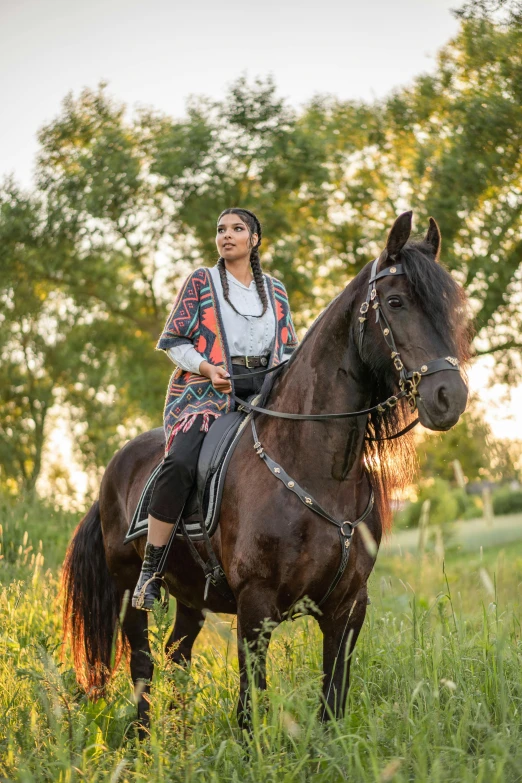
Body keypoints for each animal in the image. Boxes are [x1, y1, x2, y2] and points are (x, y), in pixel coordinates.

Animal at [63, 213, 470, 728]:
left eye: (449, 308)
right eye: (395, 302)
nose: (449, 397)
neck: (317, 472)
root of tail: (113, 471)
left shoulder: (348, 608)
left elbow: (331, 706)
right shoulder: (255, 608)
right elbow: (248, 708)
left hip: (191, 596)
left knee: (178, 654)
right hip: (127, 586)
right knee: (143, 661)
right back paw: (141, 735)